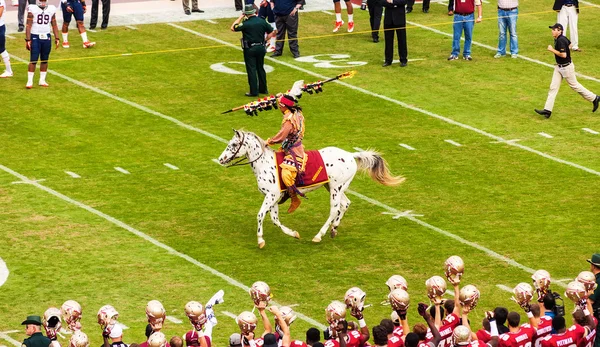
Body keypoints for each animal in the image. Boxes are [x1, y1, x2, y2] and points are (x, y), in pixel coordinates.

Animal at [216, 130, 404, 247]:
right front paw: (294, 233)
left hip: (335, 189)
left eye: (234, 144)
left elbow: (261, 215)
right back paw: (334, 230)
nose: (221, 159)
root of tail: (351, 155)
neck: (264, 164)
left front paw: (260, 240)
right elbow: (275, 220)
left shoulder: (271, 196)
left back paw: (319, 236)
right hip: (335, 187)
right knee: (345, 204)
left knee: (334, 209)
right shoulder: (273, 198)